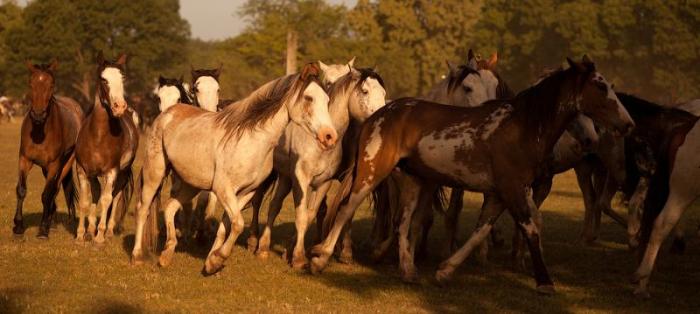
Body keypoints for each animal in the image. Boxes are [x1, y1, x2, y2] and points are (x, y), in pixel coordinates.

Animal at [14, 60, 84, 238]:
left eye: (51, 85)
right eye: (30, 83)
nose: (38, 115)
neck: (40, 132)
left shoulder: (54, 165)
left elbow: (47, 194)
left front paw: (42, 230)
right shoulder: (24, 160)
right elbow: (21, 190)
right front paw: (18, 226)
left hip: (64, 165)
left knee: (56, 189)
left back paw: (50, 222)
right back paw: (51, 220)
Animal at [74, 52, 139, 243]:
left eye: (122, 78)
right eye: (103, 79)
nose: (120, 106)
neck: (98, 137)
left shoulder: (112, 172)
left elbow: (106, 200)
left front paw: (100, 236)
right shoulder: (82, 171)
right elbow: (85, 201)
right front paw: (81, 235)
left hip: (122, 173)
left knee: (115, 197)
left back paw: (108, 231)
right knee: (96, 194)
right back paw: (90, 229)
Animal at [131, 62, 340, 274]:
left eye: (327, 99)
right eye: (308, 97)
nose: (330, 136)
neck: (250, 140)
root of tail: (166, 114)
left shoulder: (246, 192)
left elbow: (226, 226)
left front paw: (211, 262)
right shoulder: (224, 189)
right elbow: (237, 224)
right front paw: (217, 259)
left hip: (191, 184)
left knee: (171, 207)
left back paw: (166, 254)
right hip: (155, 172)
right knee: (143, 208)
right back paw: (137, 256)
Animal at [312, 55, 636, 294]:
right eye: (600, 87)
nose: (628, 123)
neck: (523, 126)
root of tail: (379, 114)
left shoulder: (500, 194)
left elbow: (481, 229)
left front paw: (445, 270)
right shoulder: (514, 189)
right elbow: (530, 228)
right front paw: (544, 282)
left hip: (414, 181)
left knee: (403, 222)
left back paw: (407, 270)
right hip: (373, 171)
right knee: (347, 208)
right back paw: (322, 257)